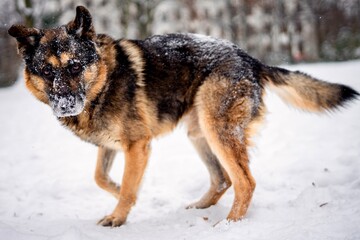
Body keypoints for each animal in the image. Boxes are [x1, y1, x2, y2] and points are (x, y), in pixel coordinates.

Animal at [7, 5, 358, 227]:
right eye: (46, 71)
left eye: (75, 66)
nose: (65, 105)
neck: (102, 83)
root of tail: (250, 58)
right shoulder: (110, 146)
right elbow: (101, 178)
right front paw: (123, 195)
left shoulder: (138, 145)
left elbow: (128, 185)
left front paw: (119, 215)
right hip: (199, 132)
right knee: (223, 178)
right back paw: (201, 206)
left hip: (217, 129)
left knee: (245, 181)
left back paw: (231, 226)